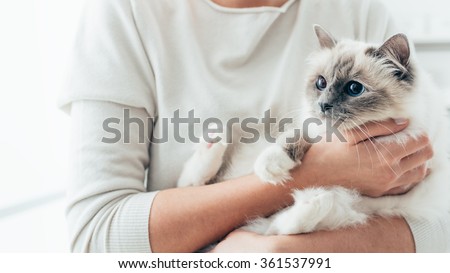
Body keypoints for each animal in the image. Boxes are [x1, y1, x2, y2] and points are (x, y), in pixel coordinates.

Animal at [177, 24, 450, 235]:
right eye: (321, 83)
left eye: (354, 89)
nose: (323, 105)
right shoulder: (314, 129)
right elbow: (294, 137)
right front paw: (272, 167)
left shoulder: (386, 198)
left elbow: (293, 223)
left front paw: (309, 199)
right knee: (192, 184)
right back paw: (214, 142)